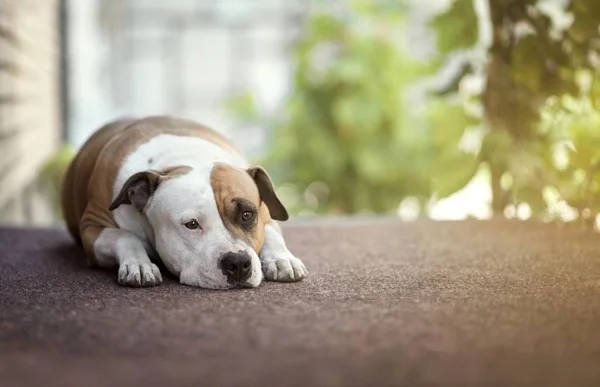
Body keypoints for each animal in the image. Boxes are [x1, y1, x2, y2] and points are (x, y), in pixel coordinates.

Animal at [59, 116, 310, 290]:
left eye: (247, 215)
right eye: (192, 224)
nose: (238, 263)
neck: (182, 160)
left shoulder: (266, 214)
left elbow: (271, 233)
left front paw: (282, 259)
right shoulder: (92, 227)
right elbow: (124, 235)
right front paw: (138, 264)